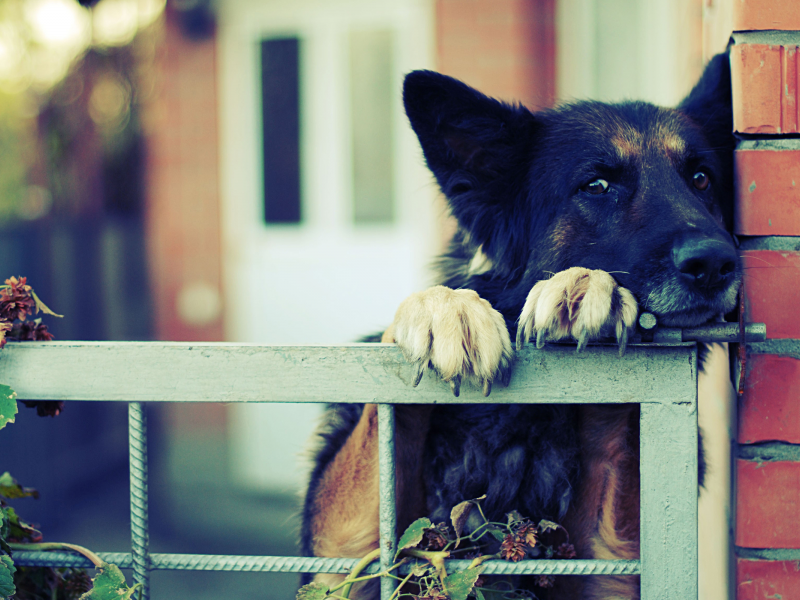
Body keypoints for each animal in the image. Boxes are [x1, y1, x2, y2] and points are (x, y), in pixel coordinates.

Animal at [300, 52, 736, 600]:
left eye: (701, 178)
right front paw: (444, 309)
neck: (518, 423)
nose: (717, 263)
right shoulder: (341, 559)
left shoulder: (614, 564)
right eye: (596, 185)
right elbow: (387, 425)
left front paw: (589, 289)